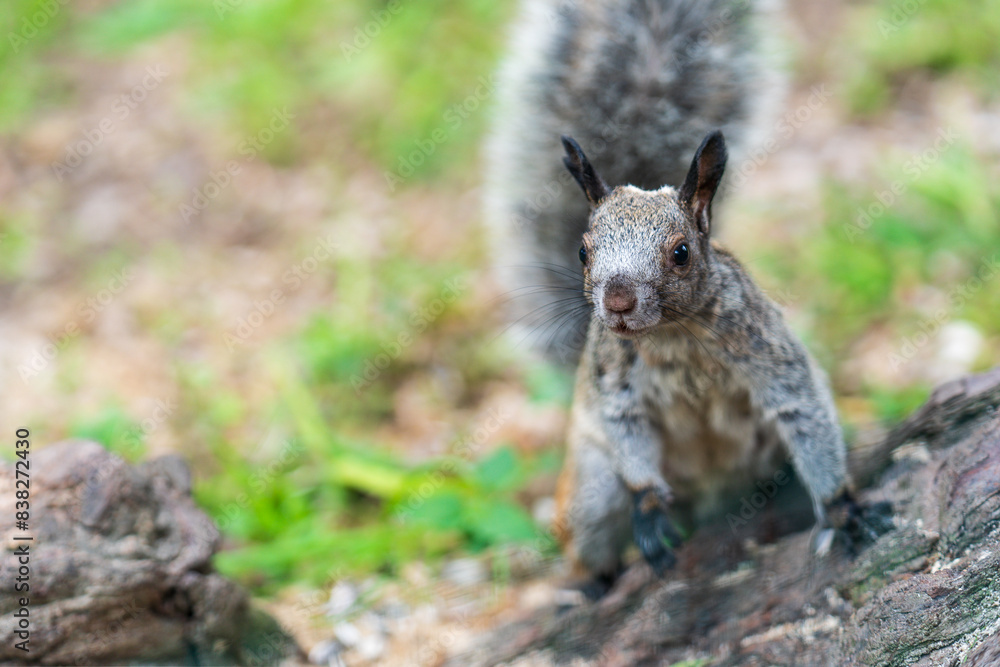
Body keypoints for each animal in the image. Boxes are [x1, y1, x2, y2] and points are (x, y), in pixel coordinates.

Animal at [485, 0, 849, 589]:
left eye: (681, 252)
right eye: (583, 251)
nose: (616, 304)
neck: (673, 336)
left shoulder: (770, 355)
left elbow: (805, 413)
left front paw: (843, 510)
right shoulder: (613, 384)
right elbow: (628, 433)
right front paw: (651, 507)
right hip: (592, 487)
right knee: (588, 539)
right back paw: (593, 584)